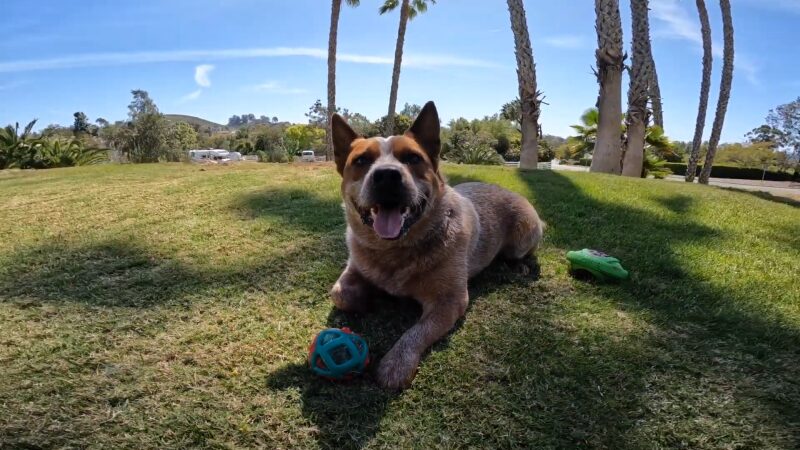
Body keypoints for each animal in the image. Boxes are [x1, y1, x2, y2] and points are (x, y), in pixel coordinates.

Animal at [330, 100, 544, 388]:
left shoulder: (450, 300)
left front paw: (396, 364)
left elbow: (417, 332)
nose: (386, 175)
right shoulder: (354, 265)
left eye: (413, 158)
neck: (393, 251)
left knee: (521, 253)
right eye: (361, 160)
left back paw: (518, 266)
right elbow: (339, 294)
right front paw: (365, 298)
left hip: (524, 235)